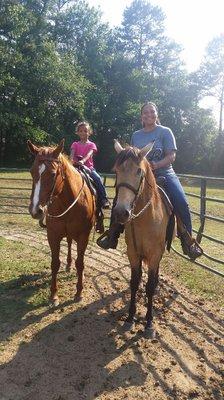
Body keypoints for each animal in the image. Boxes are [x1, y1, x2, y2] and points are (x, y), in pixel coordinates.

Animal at [27, 139, 95, 304]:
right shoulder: (53, 235)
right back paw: (68, 265)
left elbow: (80, 263)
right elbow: (55, 263)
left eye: (52, 174)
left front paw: (79, 292)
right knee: (69, 243)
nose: (35, 210)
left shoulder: (83, 236)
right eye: (32, 172)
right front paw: (53, 295)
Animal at [113, 141, 174, 338]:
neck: (145, 218)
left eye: (139, 171)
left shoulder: (154, 255)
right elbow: (134, 282)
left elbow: (149, 286)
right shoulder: (133, 253)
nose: (121, 212)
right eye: (116, 170)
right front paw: (130, 318)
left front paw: (149, 323)